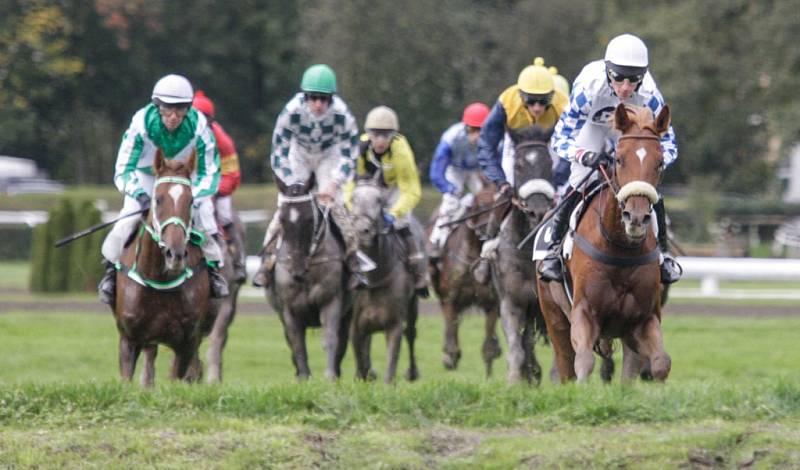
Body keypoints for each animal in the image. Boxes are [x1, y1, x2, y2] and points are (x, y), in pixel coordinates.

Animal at [114, 150, 212, 386]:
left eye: (191, 200)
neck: (158, 280)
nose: (175, 254)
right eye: (158, 199)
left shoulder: (186, 342)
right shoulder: (128, 340)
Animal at [268, 174, 350, 380]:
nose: (296, 269)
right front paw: (304, 377)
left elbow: (330, 337)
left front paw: (330, 376)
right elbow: (297, 343)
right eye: (282, 219)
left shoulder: (331, 301)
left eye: (308, 219)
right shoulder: (288, 309)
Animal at [352, 173, 424, 386]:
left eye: (379, 200)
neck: (375, 278)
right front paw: (365, 375)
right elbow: (361, 361)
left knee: (411, 333)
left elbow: (390, 369)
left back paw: (412, 372)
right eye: (353, 199)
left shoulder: (394, 325)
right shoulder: (356, 326)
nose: (362, 231)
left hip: (413, 305)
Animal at [428, 189, 496, 376]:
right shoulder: (451, 299)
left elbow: (488, 349)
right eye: (480, 206)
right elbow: (452, 350)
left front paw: (489, 378)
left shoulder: (492, 303)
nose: (492, 231)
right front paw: (449, 361)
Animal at [536, 104, 676, 384]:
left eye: (659, 162)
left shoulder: (643, 319)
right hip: (554, 317)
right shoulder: (583, 311)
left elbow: (660, 363)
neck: (620, 247)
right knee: (565, 364)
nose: (636, 218)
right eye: (619, 159)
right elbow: (584, 361)